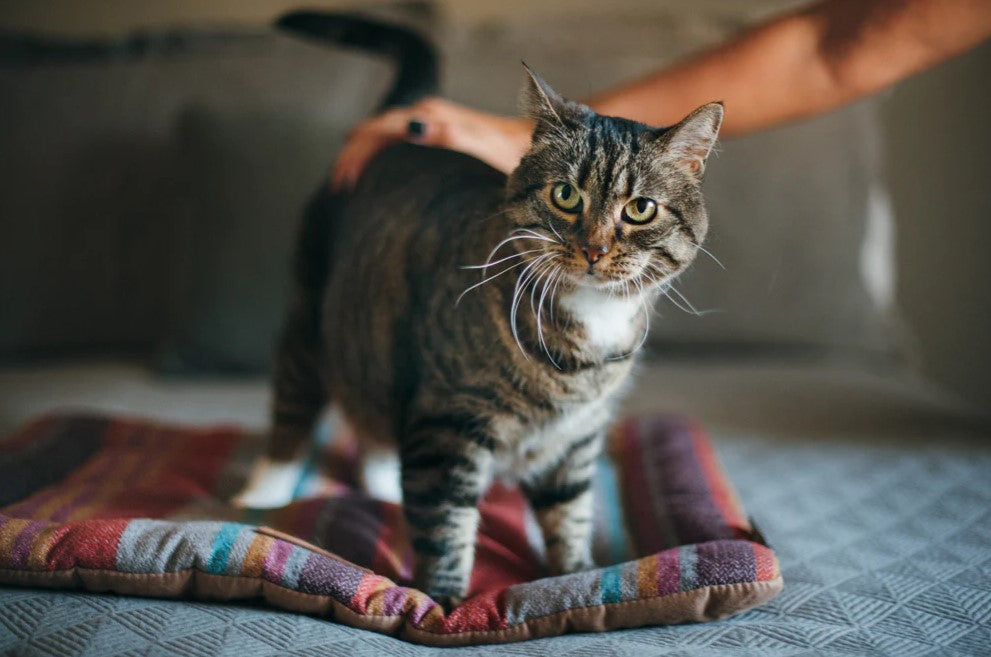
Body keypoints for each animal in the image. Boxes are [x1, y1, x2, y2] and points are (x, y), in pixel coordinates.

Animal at [237, 10, 724, 608]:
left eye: (640, 209)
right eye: (566, 196)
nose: (593, 248)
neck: (587, 328)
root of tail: (399, 133)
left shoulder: (576, 439)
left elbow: (570, 514)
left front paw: (577, 576)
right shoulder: (448, 425)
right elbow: (446, 525)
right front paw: (443, 603)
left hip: (380, 347)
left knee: (375, 423)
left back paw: (382, 488)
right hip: (312, 318)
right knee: (294, 405)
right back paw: (265, 492)